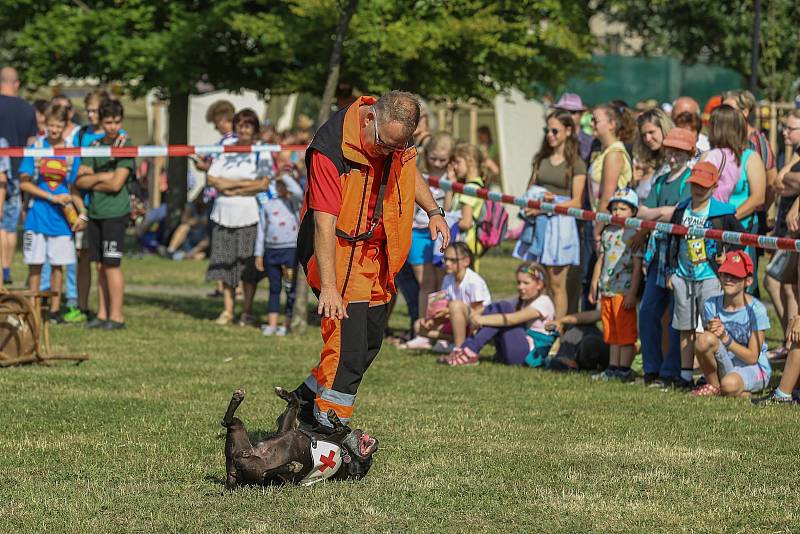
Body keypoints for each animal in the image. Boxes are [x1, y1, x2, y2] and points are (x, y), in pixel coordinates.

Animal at [220, 390, 380, 490]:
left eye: (368, 462)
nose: (377, 445)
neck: (345, 453)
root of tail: (233, 472)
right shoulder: (285, 429)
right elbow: (295, 403)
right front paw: (284, 394)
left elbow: (344, 429)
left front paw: (335, 420)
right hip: (237, 430)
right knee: (227, 421)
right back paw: (237, 398)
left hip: (259, 470)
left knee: (265, 473)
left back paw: (292, 465)